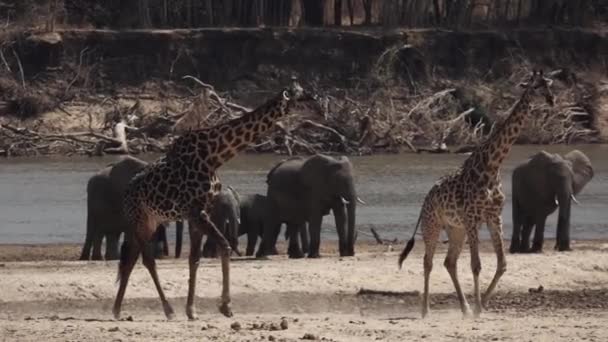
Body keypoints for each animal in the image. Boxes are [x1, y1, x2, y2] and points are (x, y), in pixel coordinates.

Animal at [113, 81, 324, 320]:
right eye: (300, 97)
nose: (320, 108)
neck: (214, 156)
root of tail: (126, 193)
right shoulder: (196, 212)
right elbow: (224, 246)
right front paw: (225, 306)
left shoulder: (198, 212)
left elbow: (194, 258)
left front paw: (192, 310)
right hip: (138, 219)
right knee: (147, 259)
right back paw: (167, 310)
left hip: (150, 221)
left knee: (130, 258)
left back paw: (117, 310)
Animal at [400, 70, 556, 318]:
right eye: (534, 87)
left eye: (549, 85)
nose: (551, 100)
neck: (492, 166)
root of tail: (425, 200)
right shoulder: (473, 218)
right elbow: (476, 265)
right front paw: (478, 307)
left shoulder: (494, 217)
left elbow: (502, 264)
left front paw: (480, 305)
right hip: (432, 225)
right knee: (428, 262)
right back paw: (425, 311)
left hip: (456, 229)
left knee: (449, 262)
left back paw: (464, 307)